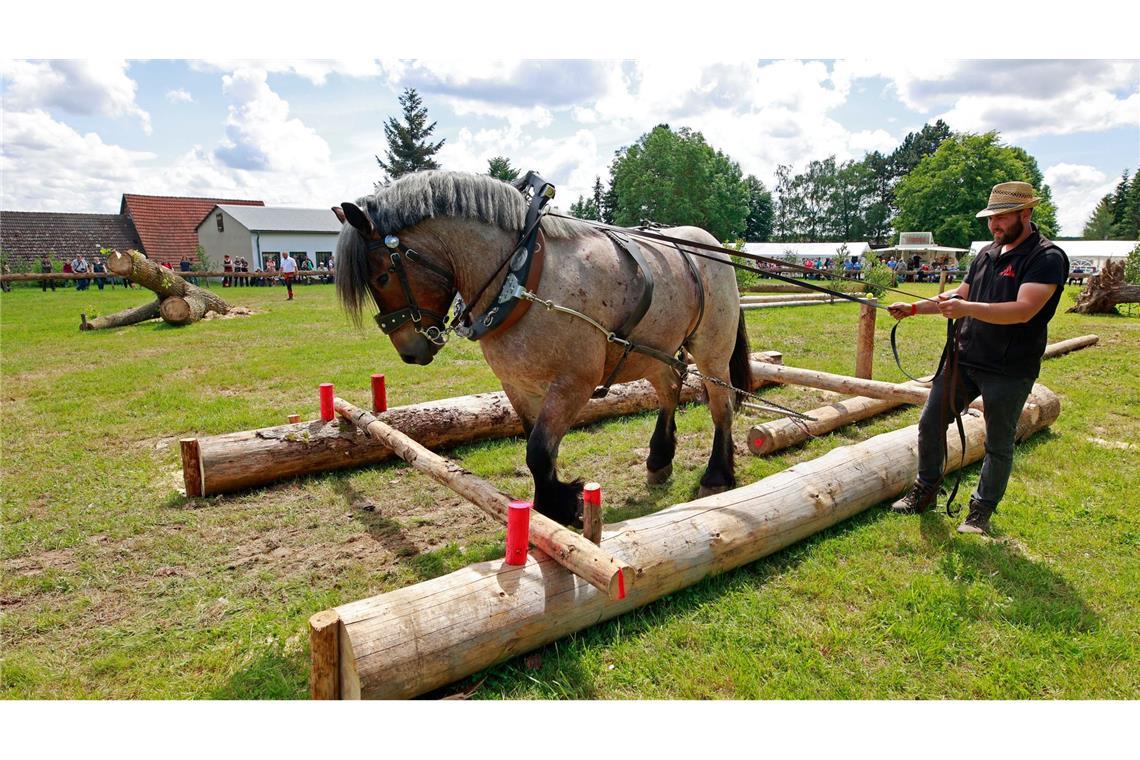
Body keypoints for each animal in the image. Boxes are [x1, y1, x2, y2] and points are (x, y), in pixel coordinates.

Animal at [332, 169, 752, 526]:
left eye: (383, 276)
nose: (410, 351)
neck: (522, 276)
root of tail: (712, 245)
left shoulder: (573, 383)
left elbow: (538, 450)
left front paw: (564, 506)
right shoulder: (518, 385)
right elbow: (536, 448)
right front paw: (553, 506)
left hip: (712, 347)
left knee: (721, 404)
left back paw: (716, 474)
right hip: (652, 349)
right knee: (670, 388)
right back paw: (659, 460)